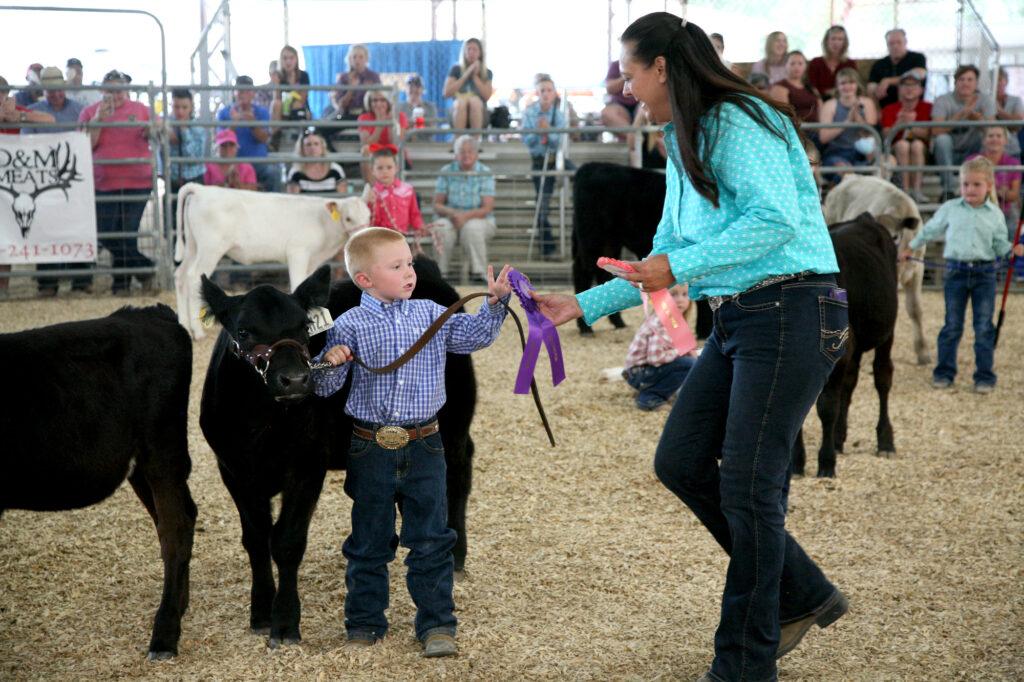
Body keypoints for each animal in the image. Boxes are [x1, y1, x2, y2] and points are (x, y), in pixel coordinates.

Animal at [174, 183, 370, 337]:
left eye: (368, 215)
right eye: (348, 218)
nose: (362, 235)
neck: (323, 223)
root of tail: (200, 189)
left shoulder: (313, 259)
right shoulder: (298, 252)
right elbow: (297, 283)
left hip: (192, 246)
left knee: (180, 276)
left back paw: (184, 325)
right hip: (210, 248)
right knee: (193, 277)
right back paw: (198, 331)